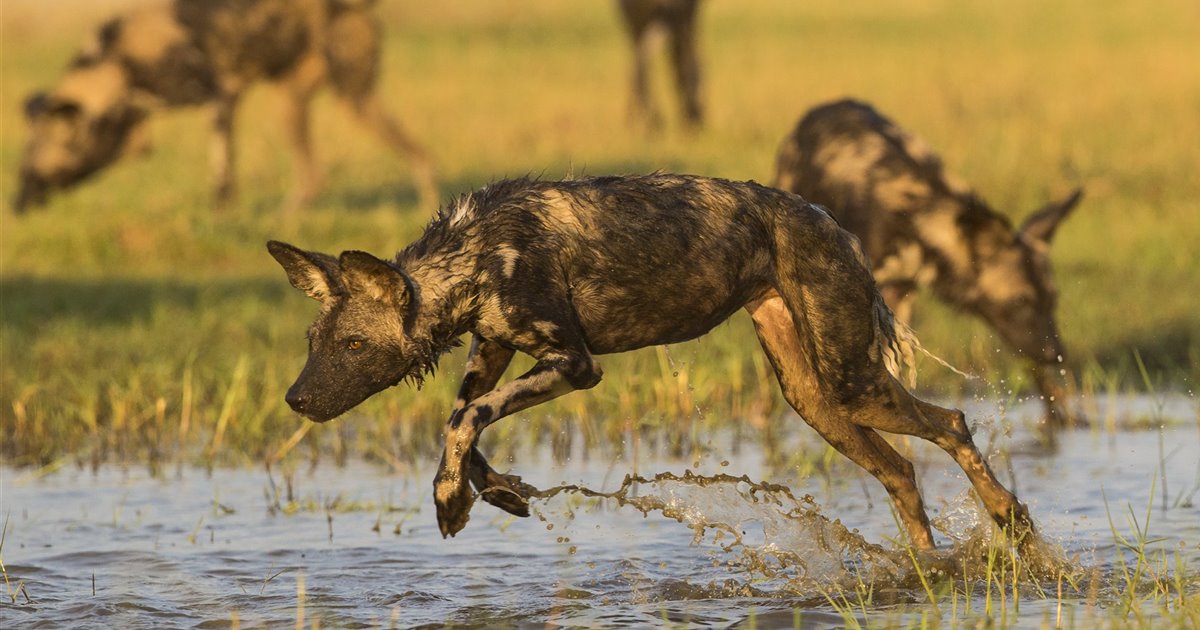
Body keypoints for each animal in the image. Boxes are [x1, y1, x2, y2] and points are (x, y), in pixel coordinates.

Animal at [14, 0, 439, 213]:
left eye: (36, 170)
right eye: (21, 171)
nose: (16, 206)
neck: (118, 64)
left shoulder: (218, 96)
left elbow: (221, 175)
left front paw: (221, 216)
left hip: (354, 99)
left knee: (421, 156)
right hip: (291, 106)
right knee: (315, 174)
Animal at [267, 172, 1036, 549]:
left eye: (354, 346)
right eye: (313, 344)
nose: (297, 400)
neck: (473, 254)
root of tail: (830, 220)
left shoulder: (575, 365)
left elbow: (466, 420)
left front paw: (454, 498)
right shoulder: (494, 351)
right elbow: (461, 422)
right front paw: (491, 488)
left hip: (851, 383)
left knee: (953, 422)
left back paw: (1010, 522)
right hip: (814, 399)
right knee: (902, 469)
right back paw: (925, 571)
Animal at [777, 99, 1089, 427]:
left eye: (1052, 300)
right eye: (1020, 301)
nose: (1056, 353)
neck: (917, 216)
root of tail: (827, 106)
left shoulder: (900, 298)